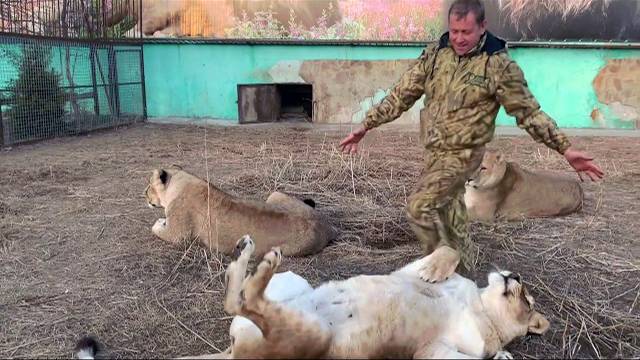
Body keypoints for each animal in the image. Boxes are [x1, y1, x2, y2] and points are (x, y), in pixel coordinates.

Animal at [144, 169, 336, 256]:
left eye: (148, 186)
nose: (144, 194)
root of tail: (326, 225)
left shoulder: (178, 235)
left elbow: (158, 229)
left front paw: (159, 222)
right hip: (275, 194)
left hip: (282, 250)